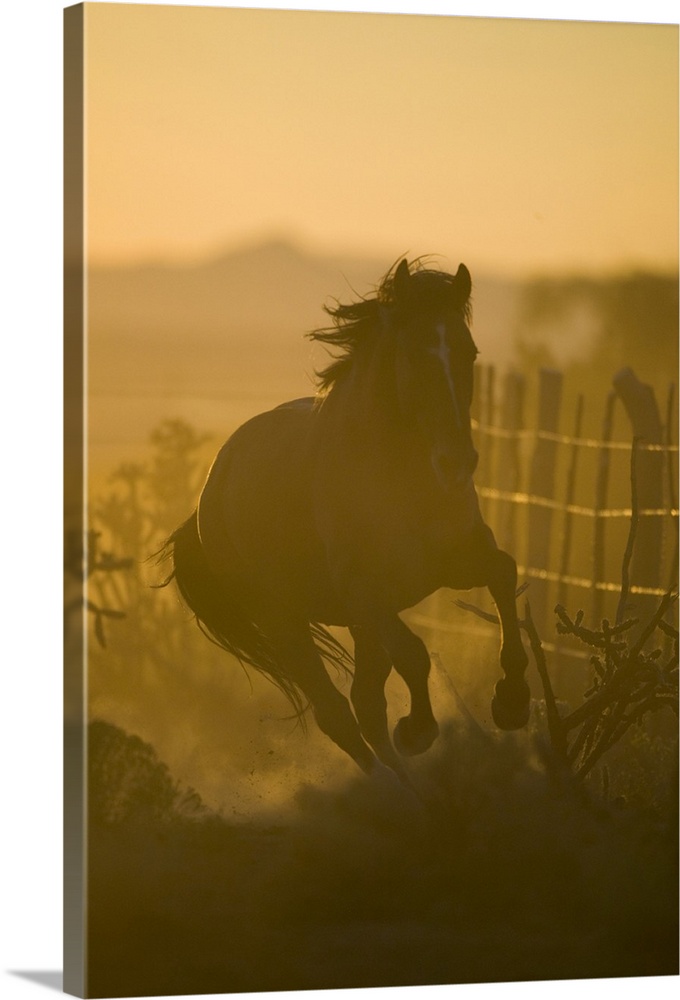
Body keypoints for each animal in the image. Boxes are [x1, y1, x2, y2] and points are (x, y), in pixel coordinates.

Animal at [163, 256, 532, 772]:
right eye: (415, 353)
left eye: (469, 352)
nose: (456, 462)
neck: (401, 480)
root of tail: (208, 495)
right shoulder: (366, 594)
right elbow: (415, 655)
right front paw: (418, 729)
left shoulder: (456, 561)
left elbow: (503, 572)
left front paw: (513, 701)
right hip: (283, 623)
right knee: (337, 714)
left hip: (354, 626)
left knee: (366, 705)